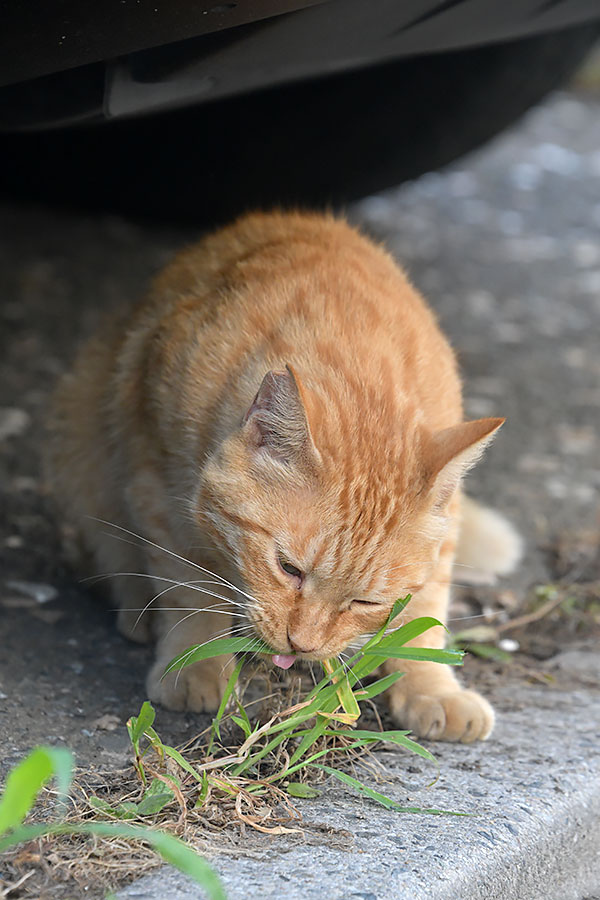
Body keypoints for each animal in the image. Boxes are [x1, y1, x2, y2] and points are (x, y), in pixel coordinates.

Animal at [45, 209, 520, 740]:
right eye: (288, 569)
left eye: (365, 602)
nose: (301, 644)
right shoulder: (158, 483)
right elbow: (188, 585)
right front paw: (195, 663)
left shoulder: (444, 531)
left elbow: (424, 610)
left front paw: (431, 685)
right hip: (82, 440)